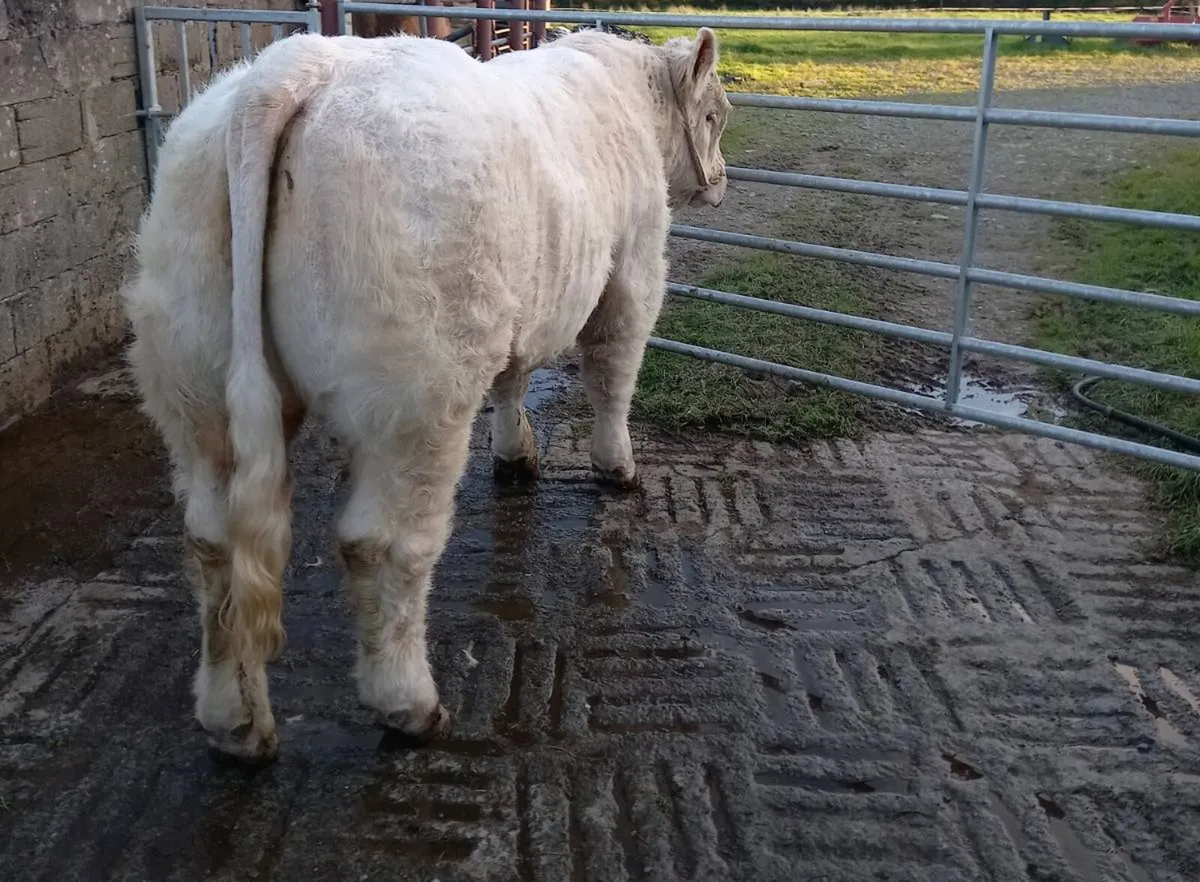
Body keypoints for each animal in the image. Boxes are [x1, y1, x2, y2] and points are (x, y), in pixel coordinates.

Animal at [122, 27, 729, 762]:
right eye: (715, 117)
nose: (722, 180)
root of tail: (293, 64)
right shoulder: (633, 264)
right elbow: (612, 371)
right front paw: (618, 468)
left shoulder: (518, 305)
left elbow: (514, 375)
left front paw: (517, 455)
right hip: (418, 391)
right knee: (380, 543)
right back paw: (410, 706)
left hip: (193, 374)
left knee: (211, 542)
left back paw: (234, 723)